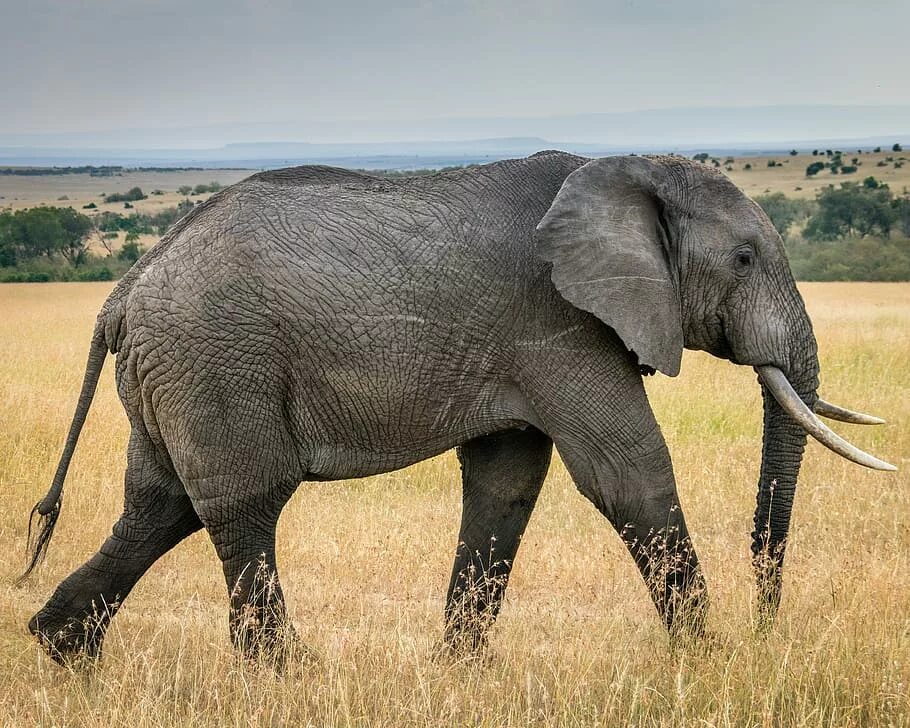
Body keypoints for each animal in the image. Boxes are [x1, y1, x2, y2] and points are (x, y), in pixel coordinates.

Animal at [23, 151, 896, 664]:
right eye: (744, 258)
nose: (766, 628)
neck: (623, 172)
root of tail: (125, 290)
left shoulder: (524, 347)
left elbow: (506, 485)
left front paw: (459, 669)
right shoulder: (558, 324)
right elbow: (628, 474)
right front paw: (705, 660)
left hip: (174, 373)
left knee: (159, 506)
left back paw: (62, 652)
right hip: (215, 361)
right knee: (242, 505)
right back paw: (285, 677)